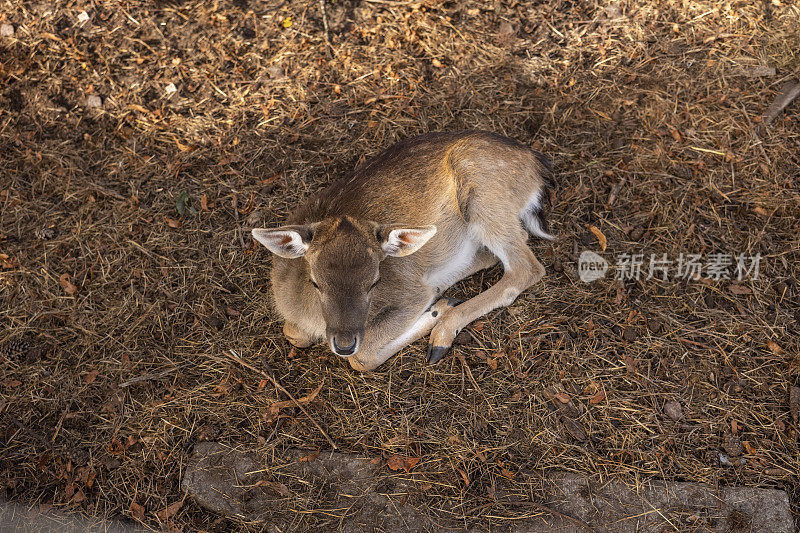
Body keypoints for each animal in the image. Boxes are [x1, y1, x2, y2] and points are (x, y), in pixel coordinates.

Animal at [253, 129, 552, 370]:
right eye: (316, 283)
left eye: (374, 283)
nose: (344, 343)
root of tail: (536, 166)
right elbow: (292, 333)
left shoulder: (410, 296)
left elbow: (362, 358)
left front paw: (434, 313)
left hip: (487, 197)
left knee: (526, 267)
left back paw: (441, 333)